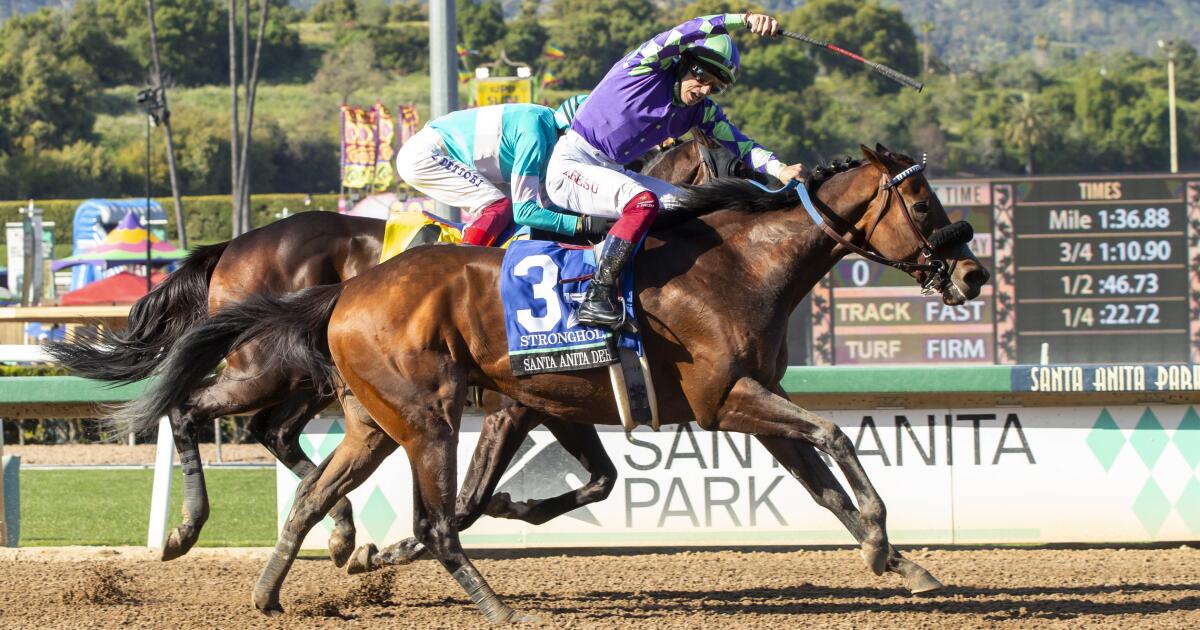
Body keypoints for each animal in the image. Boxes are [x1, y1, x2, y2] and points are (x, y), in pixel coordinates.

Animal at [54, 132, 748, 559]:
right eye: (741, 164)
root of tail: (234, 244)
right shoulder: (518, 403)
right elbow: (481, 492)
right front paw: (432, 534)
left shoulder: (552, 399)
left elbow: (598, 480)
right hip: (270, 367)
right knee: (196, 411)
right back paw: (188, 528)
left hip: (315, 378)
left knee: (274, 432)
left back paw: (338, 528)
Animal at [117, 143, 988, 619]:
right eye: (919, 200)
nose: (974, 272)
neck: (739, 265)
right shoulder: (723, 401)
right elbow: (837, 436)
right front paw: (884, 536)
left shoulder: (633, 402)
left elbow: (820, 486)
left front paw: (898, 561)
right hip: (378, 401)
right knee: (208, 415)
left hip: (371, 417)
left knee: (307, 484)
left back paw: (291, 576)